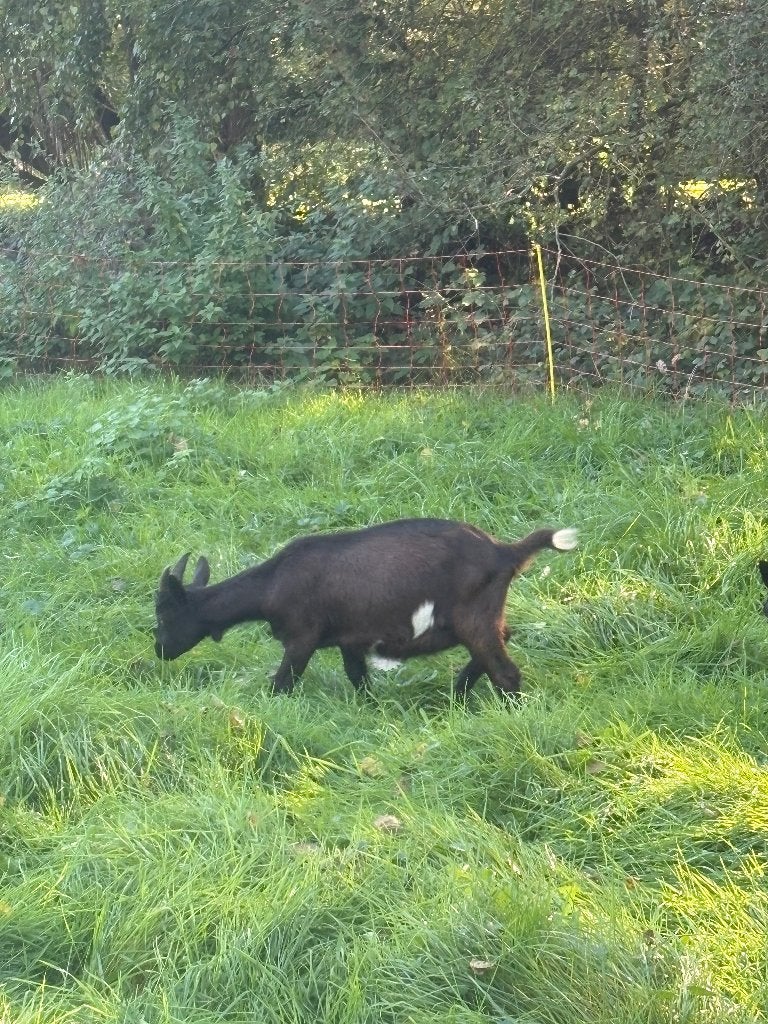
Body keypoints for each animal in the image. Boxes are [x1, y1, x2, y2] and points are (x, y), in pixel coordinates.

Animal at [154, 518, 578, 700]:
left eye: (163, 613)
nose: (158, 649)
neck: (273, 582)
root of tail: (504, 552)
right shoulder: (350, 639)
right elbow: (357, 678)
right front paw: (369, 707)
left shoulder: (302, 636)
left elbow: (283, 681)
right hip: (481, 616)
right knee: (502, 639)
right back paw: (458, 693)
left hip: (473, 617)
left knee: (506, 671)